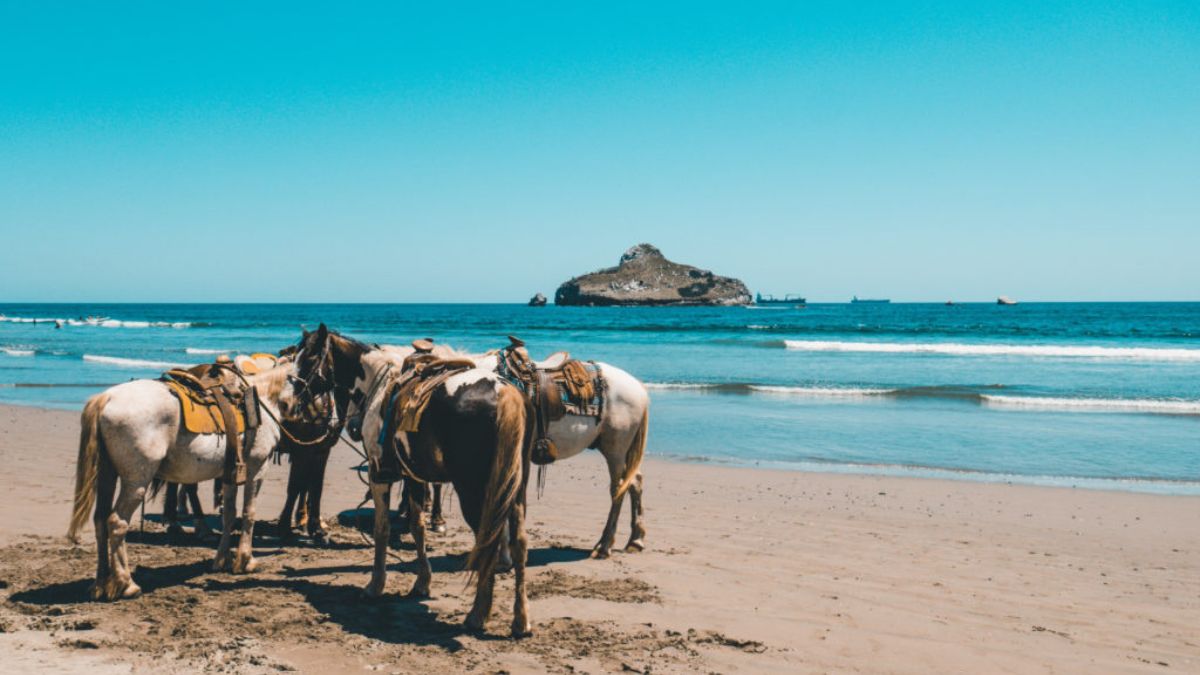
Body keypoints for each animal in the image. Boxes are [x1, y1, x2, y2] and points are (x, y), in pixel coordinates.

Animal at [66, 356, 319, 600]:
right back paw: (126, 584)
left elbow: (229, 514)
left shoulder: (230, 473)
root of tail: (106, 398)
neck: (261, 400)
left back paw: (100, 584)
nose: (316, 416)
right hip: (136, 481)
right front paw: (245, 561)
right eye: (315, 381)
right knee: (117, 523)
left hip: (106, 475)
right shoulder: (257, 467)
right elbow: (249, 513)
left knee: (100, 520)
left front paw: (223, 560)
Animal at [293, 325, 533, 637]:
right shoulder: (415, 476)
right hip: (514, 489)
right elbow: (417, 527)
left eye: (310, 358)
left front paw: (375, 585)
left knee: (488, 540)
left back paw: (478, 615)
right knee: (519, 543)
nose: (295, 397)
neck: (377, 383)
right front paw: (422, 582)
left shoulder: (379, 474)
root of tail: (505, 393)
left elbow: (382, 529)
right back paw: (521, 619)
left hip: (474, 490)